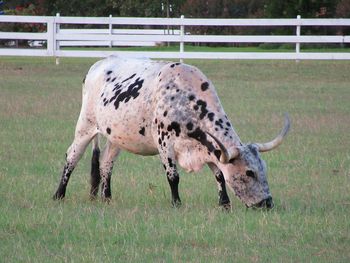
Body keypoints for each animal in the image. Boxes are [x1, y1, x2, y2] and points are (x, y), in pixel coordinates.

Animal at [53, 56, 290, 210]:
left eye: (264, 168)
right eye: (249, 172)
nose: (268, 203)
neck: (185, 98)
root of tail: (98, 64)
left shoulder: (208, 148)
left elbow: (219, 174)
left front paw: (224, 203)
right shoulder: (164, 144)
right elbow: (173, 176)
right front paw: (176, 203)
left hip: (115, 138)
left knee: (105, 164)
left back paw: (107, 198)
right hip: (86, 126)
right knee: (72, 156)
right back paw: (59, 195)